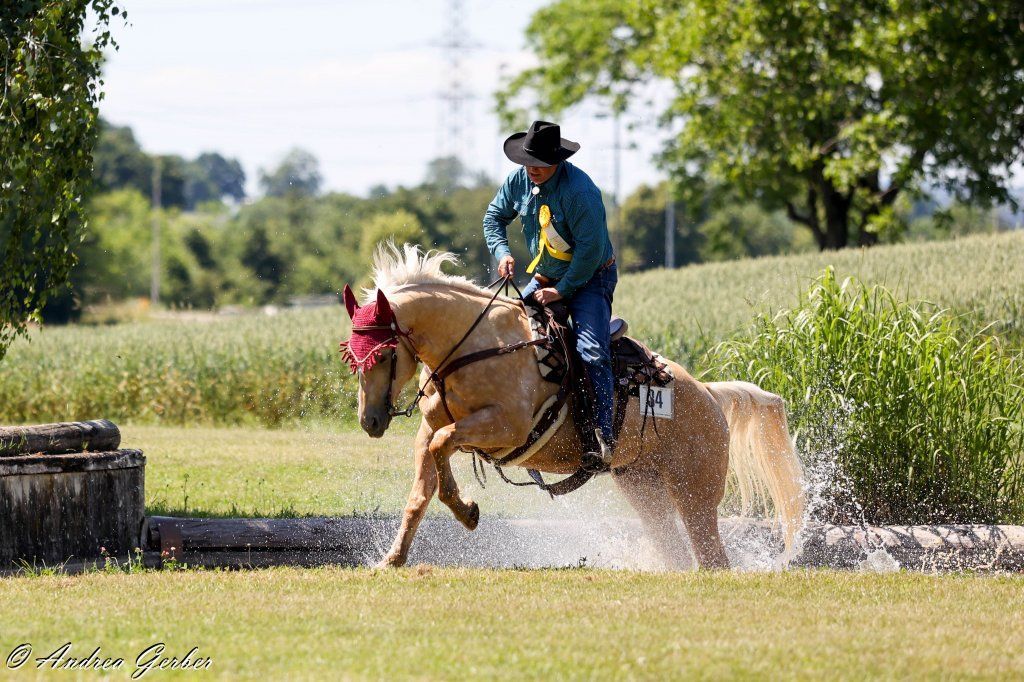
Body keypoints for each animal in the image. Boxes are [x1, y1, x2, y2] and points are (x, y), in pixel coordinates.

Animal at [341, 244, 806, 570]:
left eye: (384, 354)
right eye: (351, 356)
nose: (371, 421)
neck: (475, 346)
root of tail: (708, 393)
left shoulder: (504, 426)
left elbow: (444, 445)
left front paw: (467, 512)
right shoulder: (428, 430)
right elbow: (421, 489)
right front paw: (393, 558)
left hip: (695, 491)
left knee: (712, 557)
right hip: (643, 486)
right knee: (676, 551)